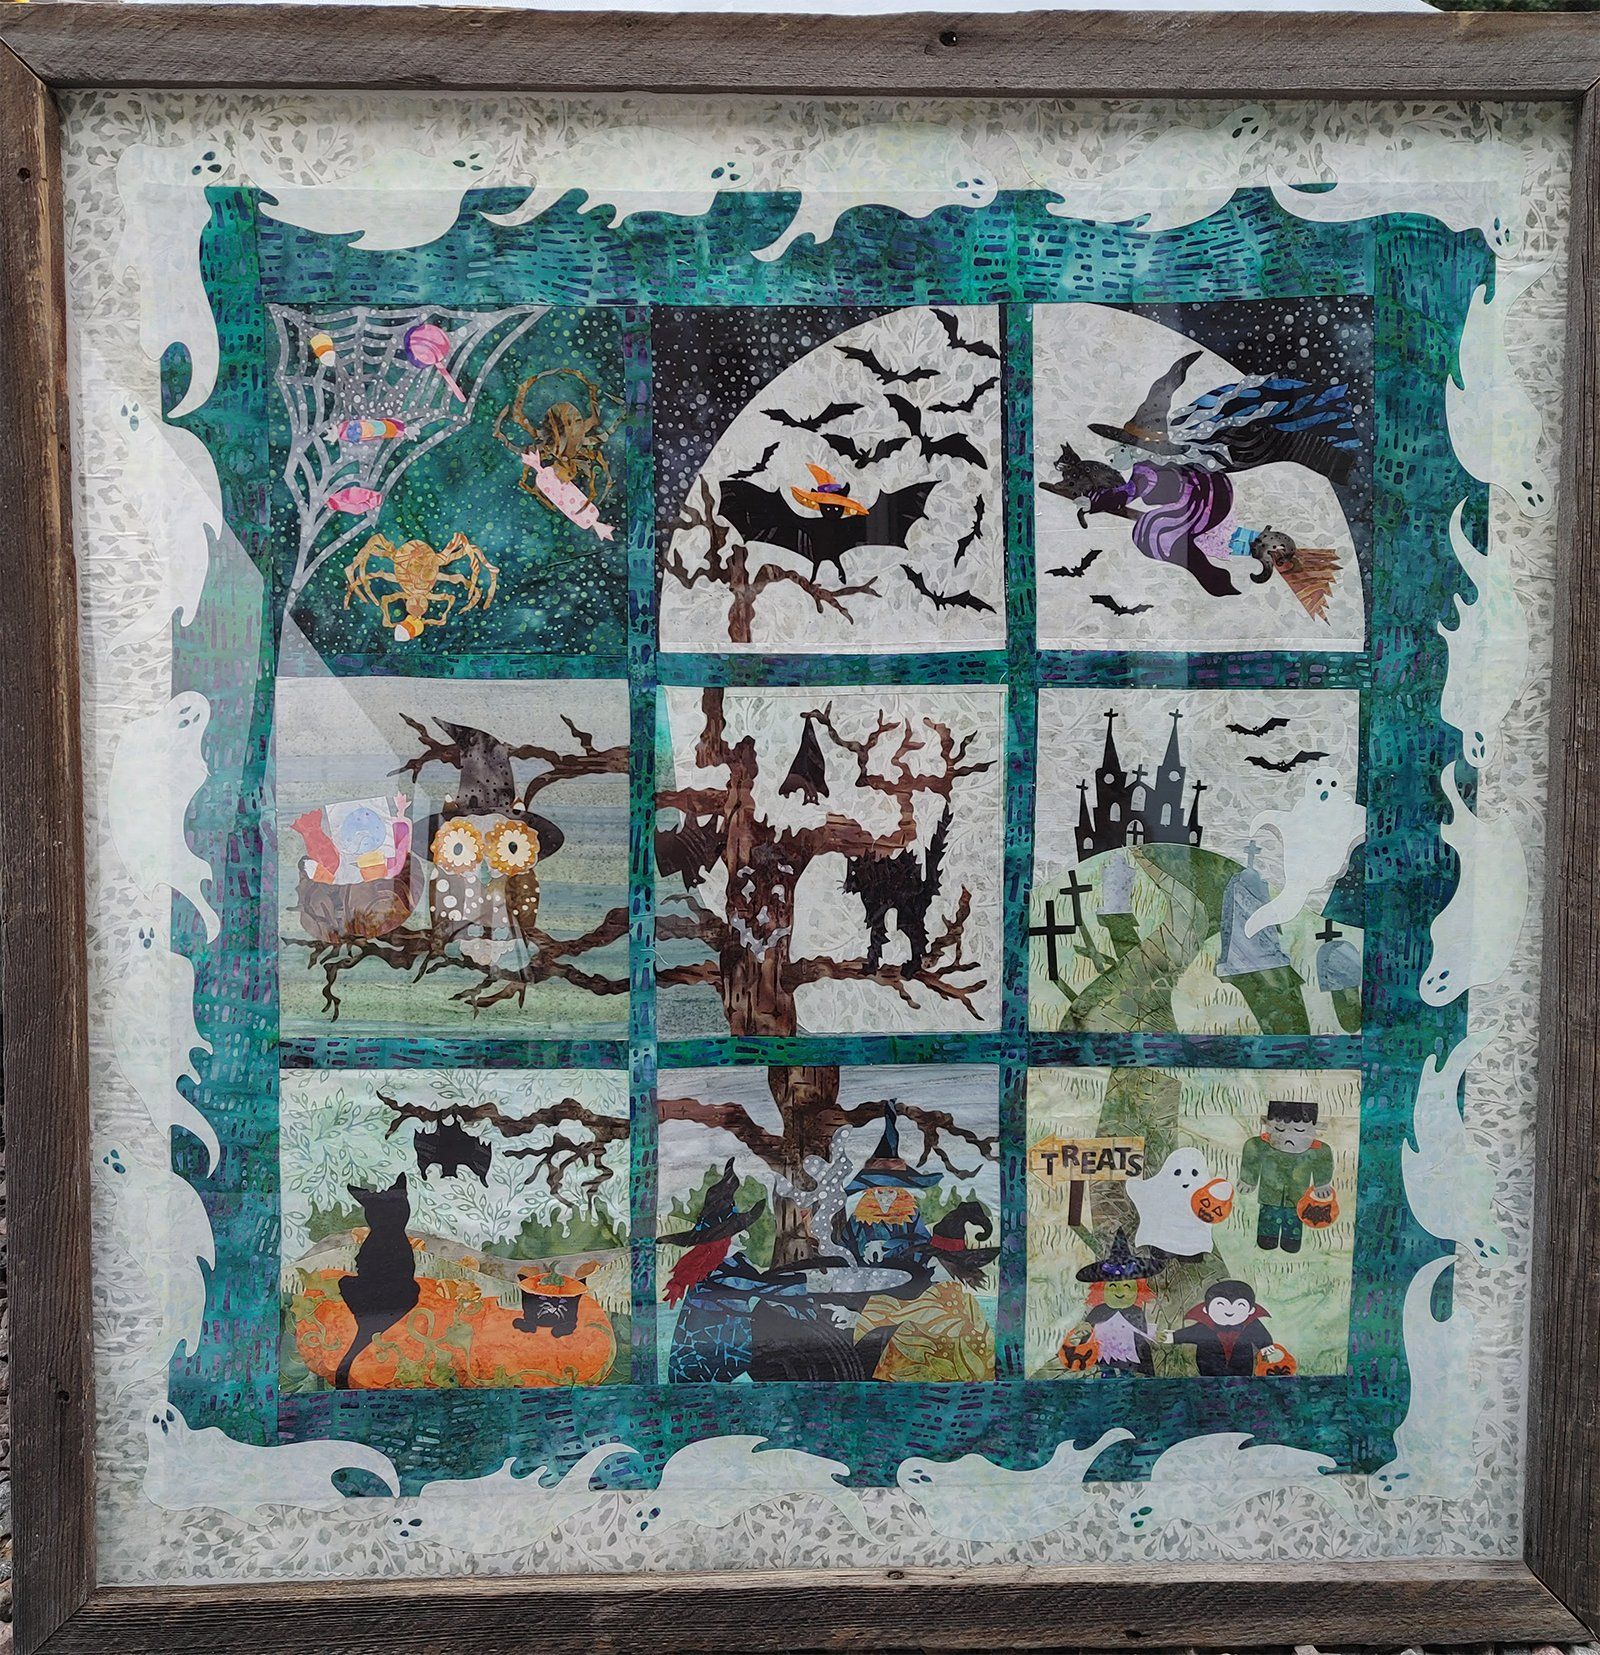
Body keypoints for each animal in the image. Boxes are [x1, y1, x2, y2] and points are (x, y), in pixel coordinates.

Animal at [841, 802, 951, 974]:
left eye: (853, 872)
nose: (846, 886)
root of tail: (924, 884)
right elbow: (877, 935)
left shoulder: (877, 910)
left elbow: (877, 937)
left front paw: (870, 968)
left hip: (908, 914)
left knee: (918, 936)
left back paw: (911, 968)